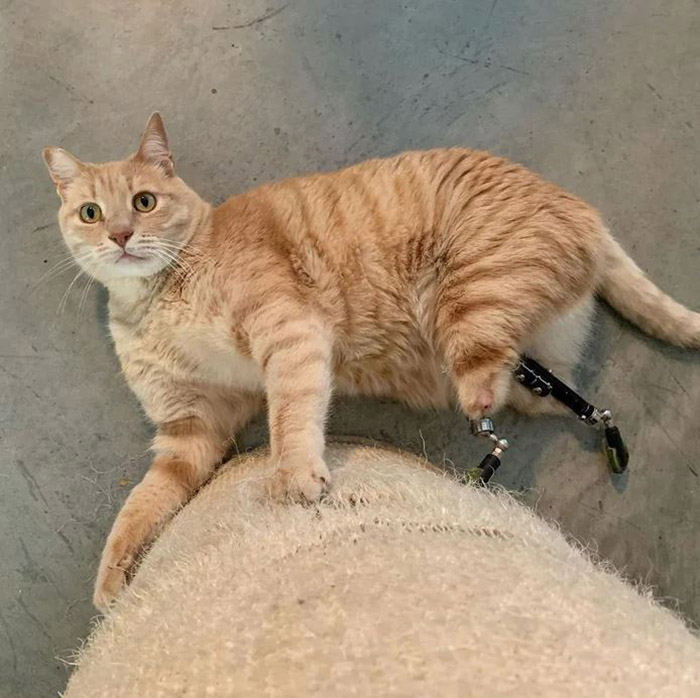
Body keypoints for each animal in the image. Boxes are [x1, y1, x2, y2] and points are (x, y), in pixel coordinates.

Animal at [43, 113, 700, 610]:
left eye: (144, 202)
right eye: (91, 213)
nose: (120, 236)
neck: (154, 299)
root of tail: (584, 211)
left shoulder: (289, 333)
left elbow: (290, 415)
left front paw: (294, 475)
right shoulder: (191, 428)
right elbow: (143, 504)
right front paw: (112, 579)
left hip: (467, 299)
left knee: (486, 375)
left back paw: (477, 408)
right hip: (525, 365)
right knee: (546, 389)